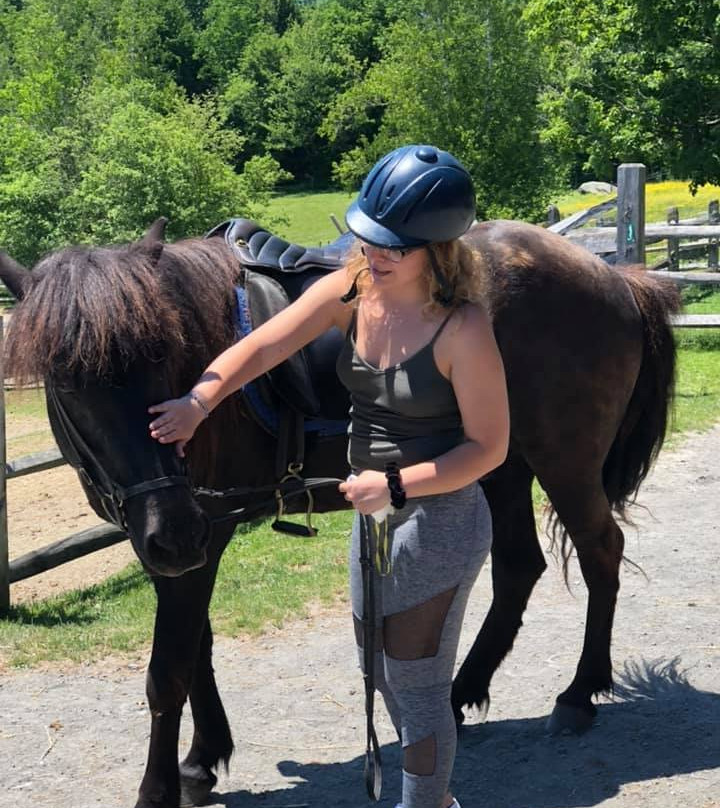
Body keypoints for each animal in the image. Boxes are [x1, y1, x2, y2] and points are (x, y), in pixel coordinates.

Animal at [0, 217, 679, 808]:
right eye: (67, 384)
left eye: (163, 355)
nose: (174, 527)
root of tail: (614, 275)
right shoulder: (175, 543)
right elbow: (199, 648)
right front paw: (202, 761)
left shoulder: (202, 535)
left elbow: (169, 669)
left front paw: (161, 788)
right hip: (500, 466)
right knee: (518, 566)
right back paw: (462, 692)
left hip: (563, 460)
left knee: (600, 553)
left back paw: (579, 694)